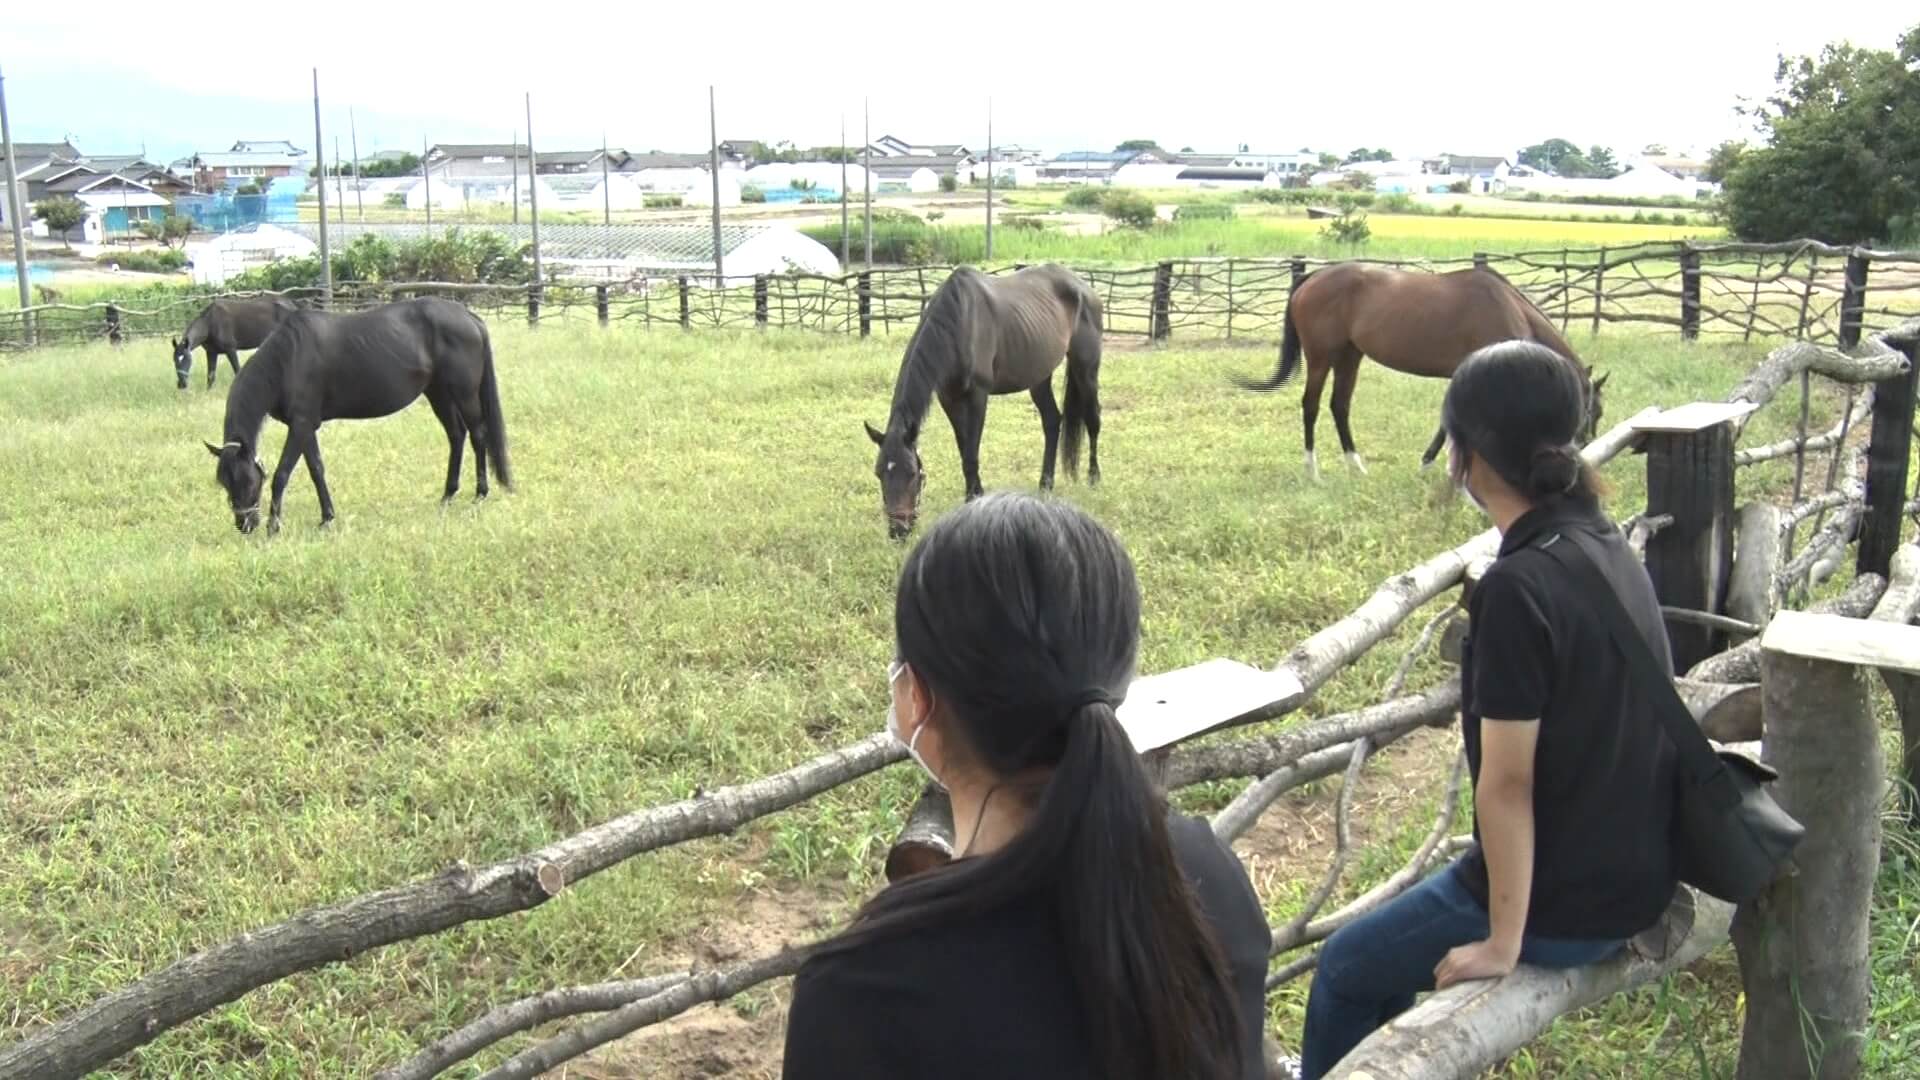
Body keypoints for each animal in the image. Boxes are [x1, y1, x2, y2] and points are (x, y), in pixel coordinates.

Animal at [203, 295, 510, 530]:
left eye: (247, 480)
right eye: (224, 482)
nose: (245, 525)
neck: (287, 359)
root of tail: (469, 316)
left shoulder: (300, 425)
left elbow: (282, 474)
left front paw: (273, 526)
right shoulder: (305, 426)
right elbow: (317, 469)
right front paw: (327, 518)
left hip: (464, 394)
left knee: (478, 434)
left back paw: (480, 494)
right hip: (439, 394)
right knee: (456, 435)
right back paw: (447, 496)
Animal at [864, 261, 1105, 538]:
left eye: (912, 473)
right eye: (879, 473)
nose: (898, 531)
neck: (958, 322)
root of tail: (1084, 287)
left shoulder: (978, 396)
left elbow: (971, 454)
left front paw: (974, 500)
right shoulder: (949, 398)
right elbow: (963, 451)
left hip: (1085, 368)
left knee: (1093, 419)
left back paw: (1093, 478)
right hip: (1038, 376)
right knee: (1052, 421)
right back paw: (1045, 485)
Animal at [1228, 261, 1605, 474]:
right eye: (1594, 411)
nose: (1586, 448)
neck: (1506, 307)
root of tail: (1314, 276)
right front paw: (1430, 463)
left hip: (1350, 355)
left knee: (1339, 406)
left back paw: (1356, 466)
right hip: (1322, 356)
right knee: (1311, 405)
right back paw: (1313, 470)